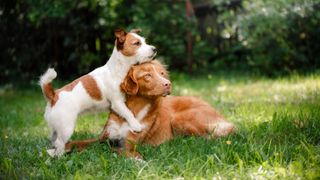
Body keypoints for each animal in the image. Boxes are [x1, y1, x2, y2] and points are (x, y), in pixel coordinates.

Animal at [38, 28, 156, 156]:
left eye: (144, 41)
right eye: (137, 43)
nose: (155, 49)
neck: (118, 69)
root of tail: (54, 96)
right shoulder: (117, 103)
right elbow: (128, 113)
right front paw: (135, 125)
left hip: (56, 128)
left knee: (54, 140)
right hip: (66, 128)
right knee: (59, 143)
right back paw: (60, 157)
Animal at [65, 60, 235, 159]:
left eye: (162, 74)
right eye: (147, 76)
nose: (168, 84)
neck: (133, 110)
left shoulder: (128, 143)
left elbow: (121, 150)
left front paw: (138, 160)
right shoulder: (104, 137)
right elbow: (78, 142)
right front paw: (62, 149)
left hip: (179, 119)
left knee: (208, 137)